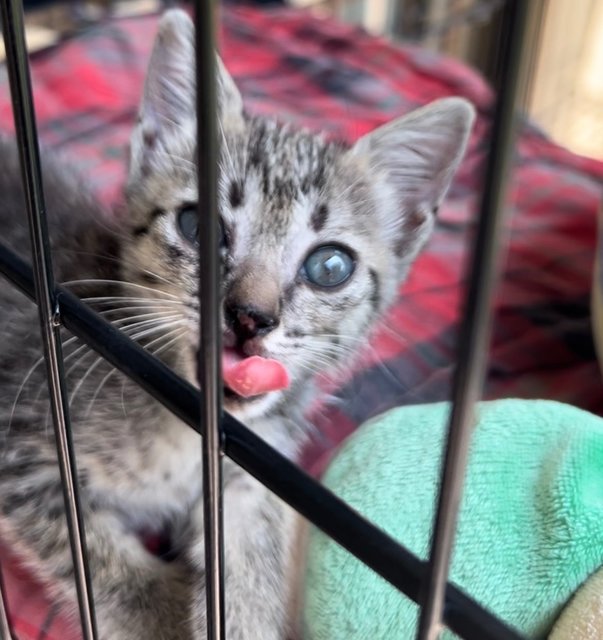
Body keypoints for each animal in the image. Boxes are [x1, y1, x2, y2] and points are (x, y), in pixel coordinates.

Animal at [0, 8, 472, 640]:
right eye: (197, 226)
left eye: (329, 267)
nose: (251, 316)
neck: (184, 435)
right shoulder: (24, 450)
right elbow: (96, 555)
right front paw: (164, 614)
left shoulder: (255, 464)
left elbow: (258, 536)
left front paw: (245, 612)